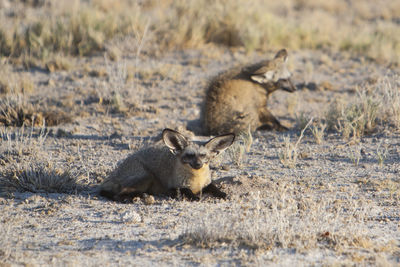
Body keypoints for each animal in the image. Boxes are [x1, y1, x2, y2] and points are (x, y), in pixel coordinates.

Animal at [99, 129, 234, 202]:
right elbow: (186, 191)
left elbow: (213, 187)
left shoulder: (206, 184)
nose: (198, 164)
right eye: (189, 155)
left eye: (203, 155)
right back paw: (134, 198)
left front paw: (222, 193)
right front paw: (194, 197)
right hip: (146, 176)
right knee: (117, 195)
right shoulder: (172, 188)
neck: (196, 181)